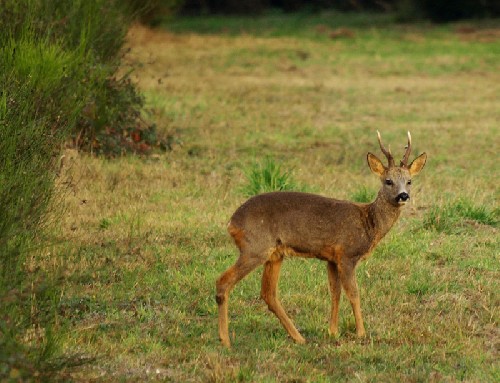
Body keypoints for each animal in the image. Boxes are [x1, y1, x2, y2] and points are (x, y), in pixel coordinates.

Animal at [215, 132, 426, 348]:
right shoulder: (347, 254)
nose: (403, 195)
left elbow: (335, 292)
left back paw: (298, 337)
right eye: (388, 181)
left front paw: (333, 331)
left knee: (268, 293)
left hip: (274, 254)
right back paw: (225, 340)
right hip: (255, 247)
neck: (368, 223)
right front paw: (361, 333)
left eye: (409, 181)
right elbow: (354, 293)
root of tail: (231, 223)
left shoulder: (331, 258)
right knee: (223, 281)